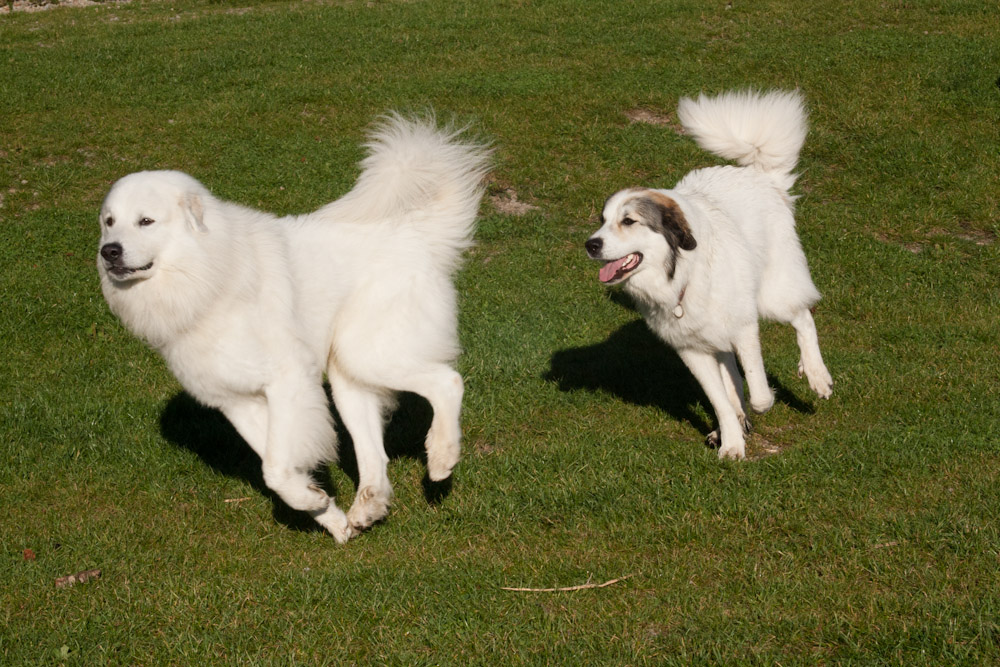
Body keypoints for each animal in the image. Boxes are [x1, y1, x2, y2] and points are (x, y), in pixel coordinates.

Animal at [97, 116, 492, 544]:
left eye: (146, 221)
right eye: (109, 222)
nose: (109, 251)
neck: (212, 273)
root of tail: (414, 233)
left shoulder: (286, 383)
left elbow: (275, 469)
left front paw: (316, 503)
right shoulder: (236, 402)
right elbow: (279, 471)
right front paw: (326, 514)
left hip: (368, 354)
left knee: (448, 382)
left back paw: (441, 458)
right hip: (347, 378)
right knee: (374, 455)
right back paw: (365, 509)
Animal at [584, 91, 836, 462]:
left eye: (628, 221)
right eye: (602, 221)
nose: (591, 244)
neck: (679, 279)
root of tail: (758, 175)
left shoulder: (744, 328)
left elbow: (759, 394)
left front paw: (756, 410)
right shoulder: (691, 350)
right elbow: (721, 400)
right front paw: (731, 441)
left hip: (772, 296)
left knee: (803, 317)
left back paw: (816, 375)